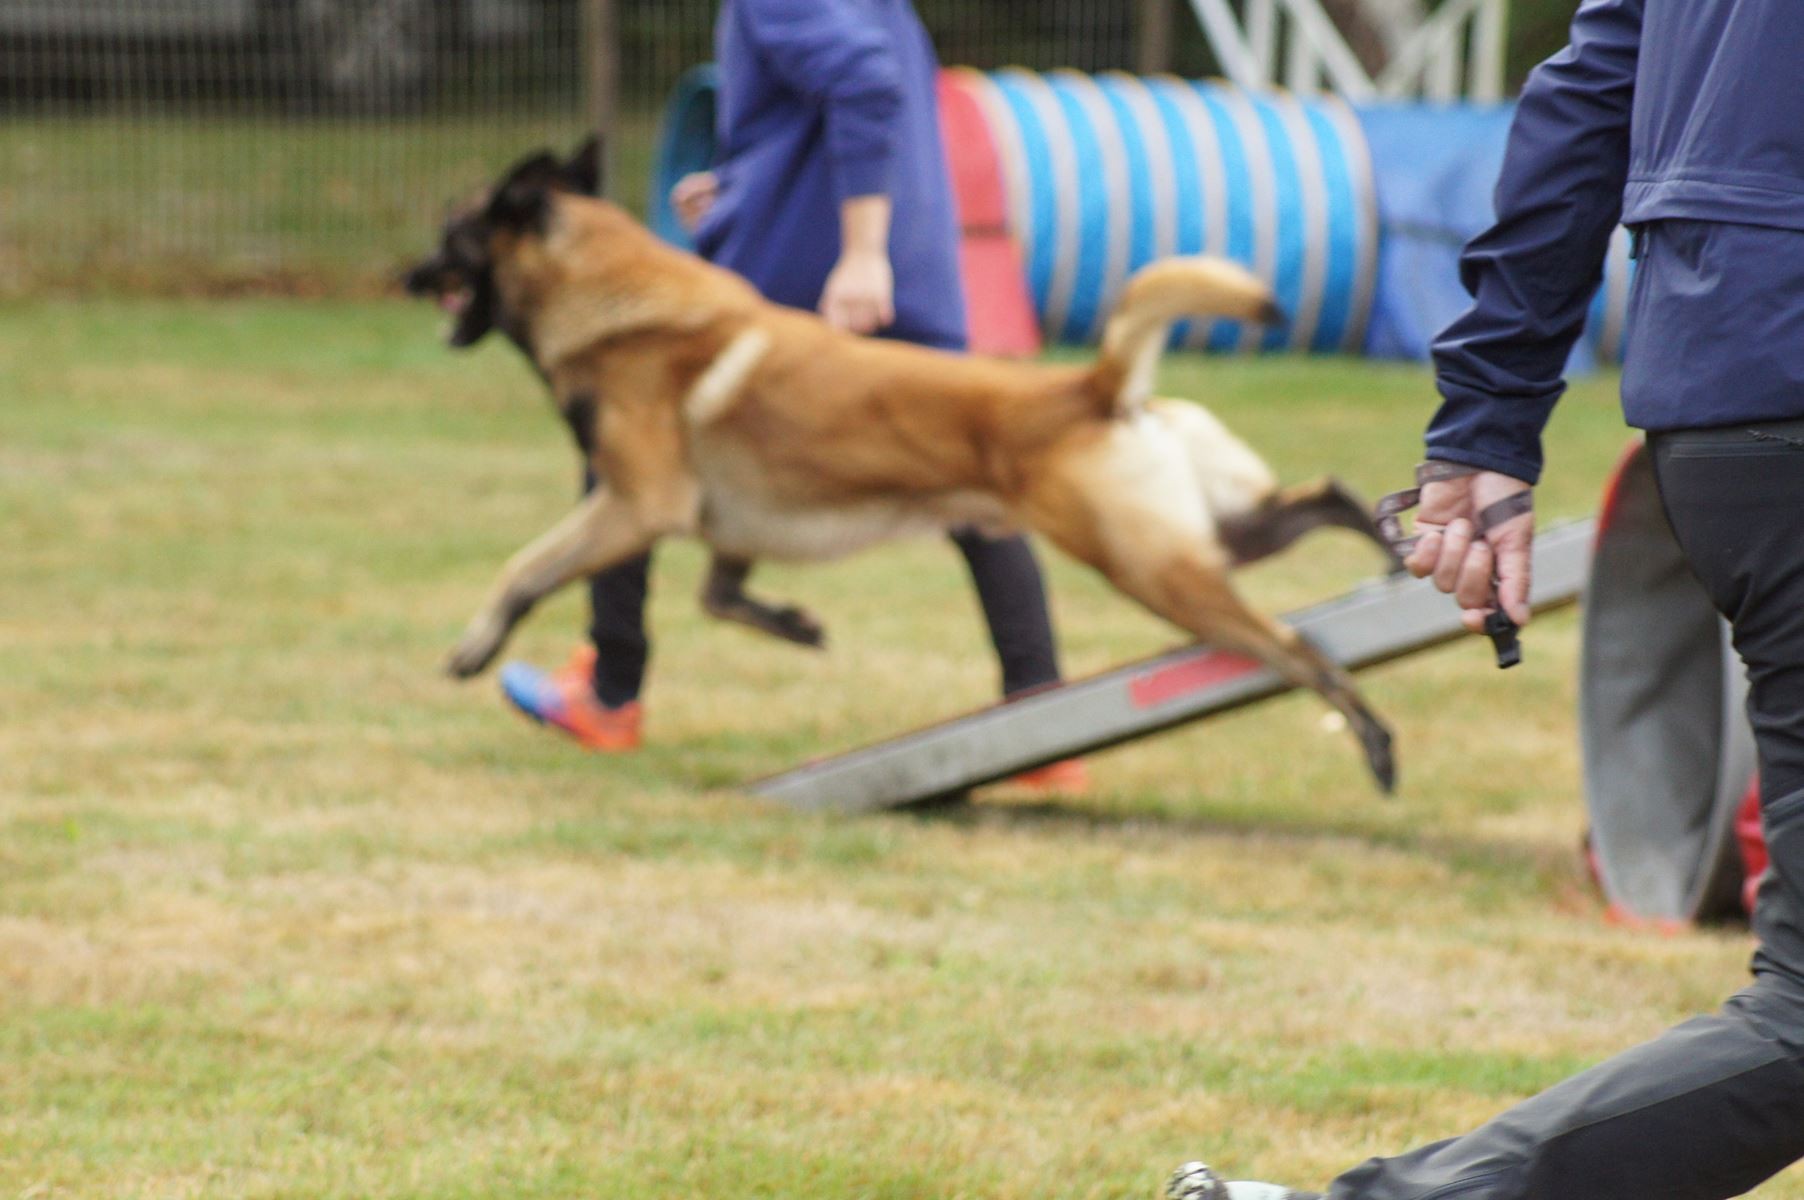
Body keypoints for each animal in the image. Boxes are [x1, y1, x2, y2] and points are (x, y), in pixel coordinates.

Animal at [413, 140, 1407, 790]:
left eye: (453, 234)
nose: (408, 276)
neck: (617, 303)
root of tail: (1093, 386)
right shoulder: (732, 518)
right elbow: (717, 595)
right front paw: (794, 624)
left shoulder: (636, 503)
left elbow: (527, 567)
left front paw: (474, 646)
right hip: (1213, 536)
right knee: (1328, 496)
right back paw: (1393, 553)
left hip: (1152, 568)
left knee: (1297, 649)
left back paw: (1373, 736)